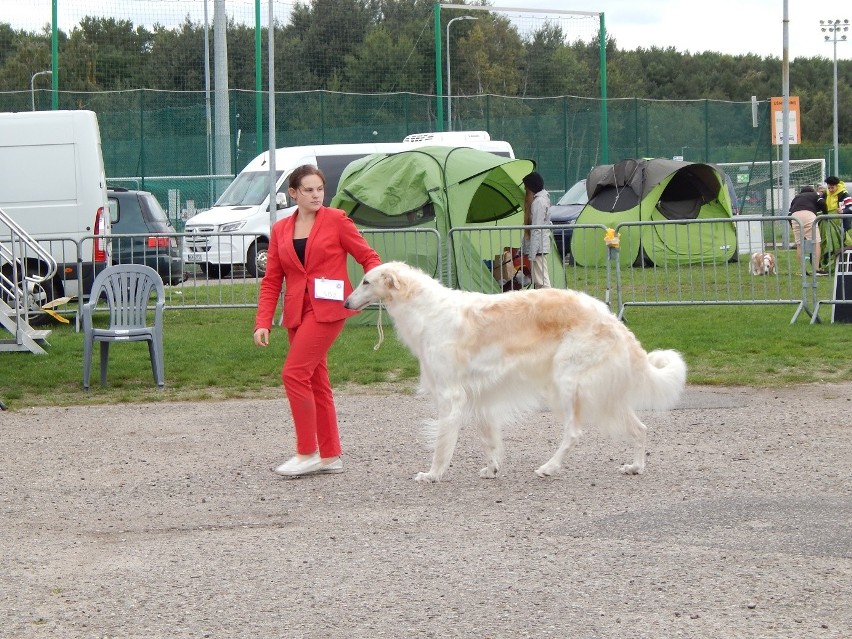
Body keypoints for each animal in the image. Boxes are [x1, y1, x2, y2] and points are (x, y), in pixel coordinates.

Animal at [342, 262, 688, 482]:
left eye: (366, 281)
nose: (345, 303)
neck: (428, 311)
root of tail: (612, 319)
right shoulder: (479, 394)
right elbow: (489, 439)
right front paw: (492, 469)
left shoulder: (450, 394)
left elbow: (443, 443)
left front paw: (433, 474)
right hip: (601, 393)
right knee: (641, 428)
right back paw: (635, 467)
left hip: (566, 384)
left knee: (574, 432)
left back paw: (549, 467)